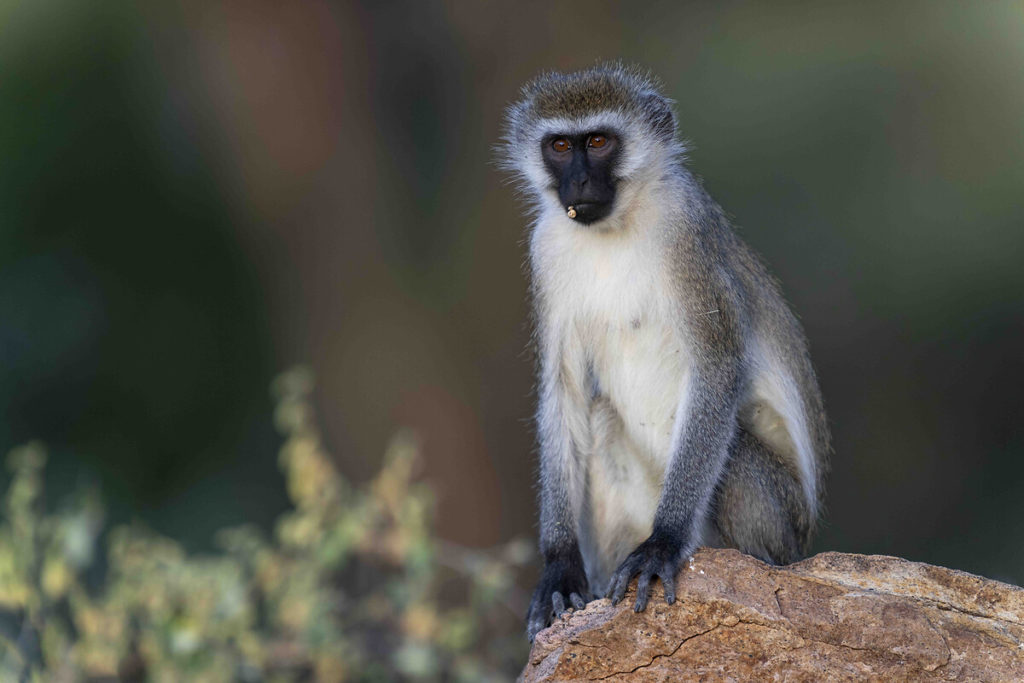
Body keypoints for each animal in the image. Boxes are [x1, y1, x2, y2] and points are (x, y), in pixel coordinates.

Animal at [499, 62, 827, 643]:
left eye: (599, 142)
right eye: (560, 145)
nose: (578, 182)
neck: (612, 231)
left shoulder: (686, 231)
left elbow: (717, 369)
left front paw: (664, 543)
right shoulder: (547, 248)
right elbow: (564, 389)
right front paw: (559, 565)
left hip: (780, 520)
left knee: (731, 459)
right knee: (602, 425)